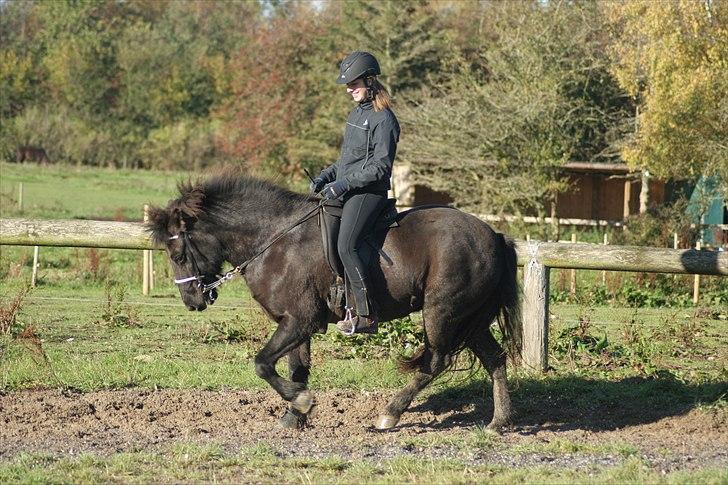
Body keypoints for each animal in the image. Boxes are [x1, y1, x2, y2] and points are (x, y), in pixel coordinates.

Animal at [146, 172, 524, 430]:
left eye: (178, 254)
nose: (192, 301)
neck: (274, 241)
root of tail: (493, 235)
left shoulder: (301, 320)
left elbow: (262, 364)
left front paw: (301, 403)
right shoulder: (294, 323)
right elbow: (296, 369)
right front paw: (295, 416)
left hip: (442, 312)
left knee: (436, 362)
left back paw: (390, 414)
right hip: (470, 318)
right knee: (494, 358)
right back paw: (500, 422)